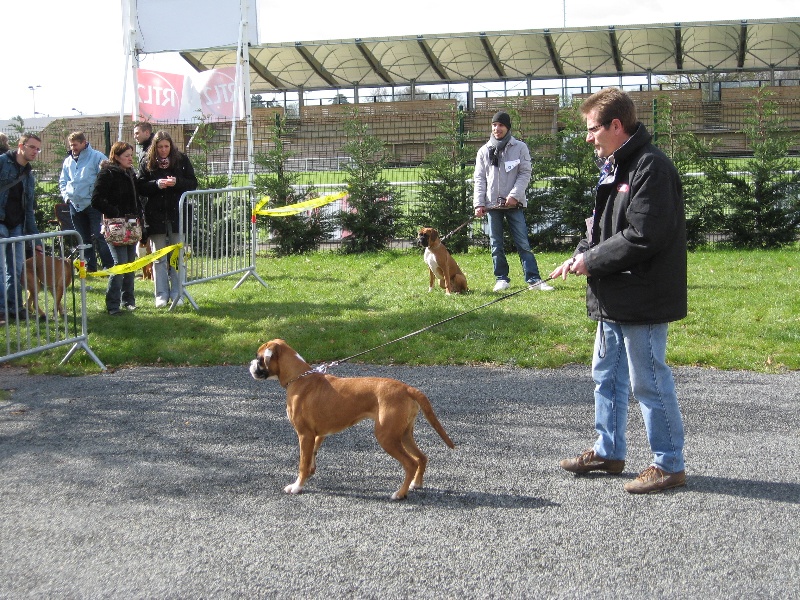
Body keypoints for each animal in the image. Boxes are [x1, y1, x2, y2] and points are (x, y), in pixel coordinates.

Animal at [248, 338, 456, 502]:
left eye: (259, 359)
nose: (250, 365)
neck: (299, 377)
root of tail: (407, 388)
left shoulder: (304, 435)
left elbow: (302, 463)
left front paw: (297, 486)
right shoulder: (317, 435)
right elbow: (311, 457)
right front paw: (310, 472)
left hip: (387, 437)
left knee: (410, 463)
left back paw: (400, 493)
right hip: (404, 434)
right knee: (422, 457)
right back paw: (416, 484)